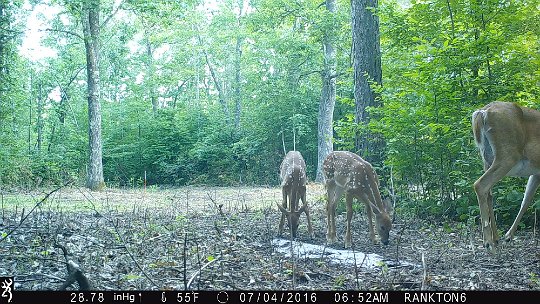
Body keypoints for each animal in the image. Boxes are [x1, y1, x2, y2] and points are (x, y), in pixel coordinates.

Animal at [472, 101, 540, 251]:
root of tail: (483, 112)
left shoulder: (537, 173)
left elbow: (526, 200)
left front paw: (508, 236)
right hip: (508, 156)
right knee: (480, 185)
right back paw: (488, 242)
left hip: (487, 158)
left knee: (489, 194)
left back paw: (496, 238)